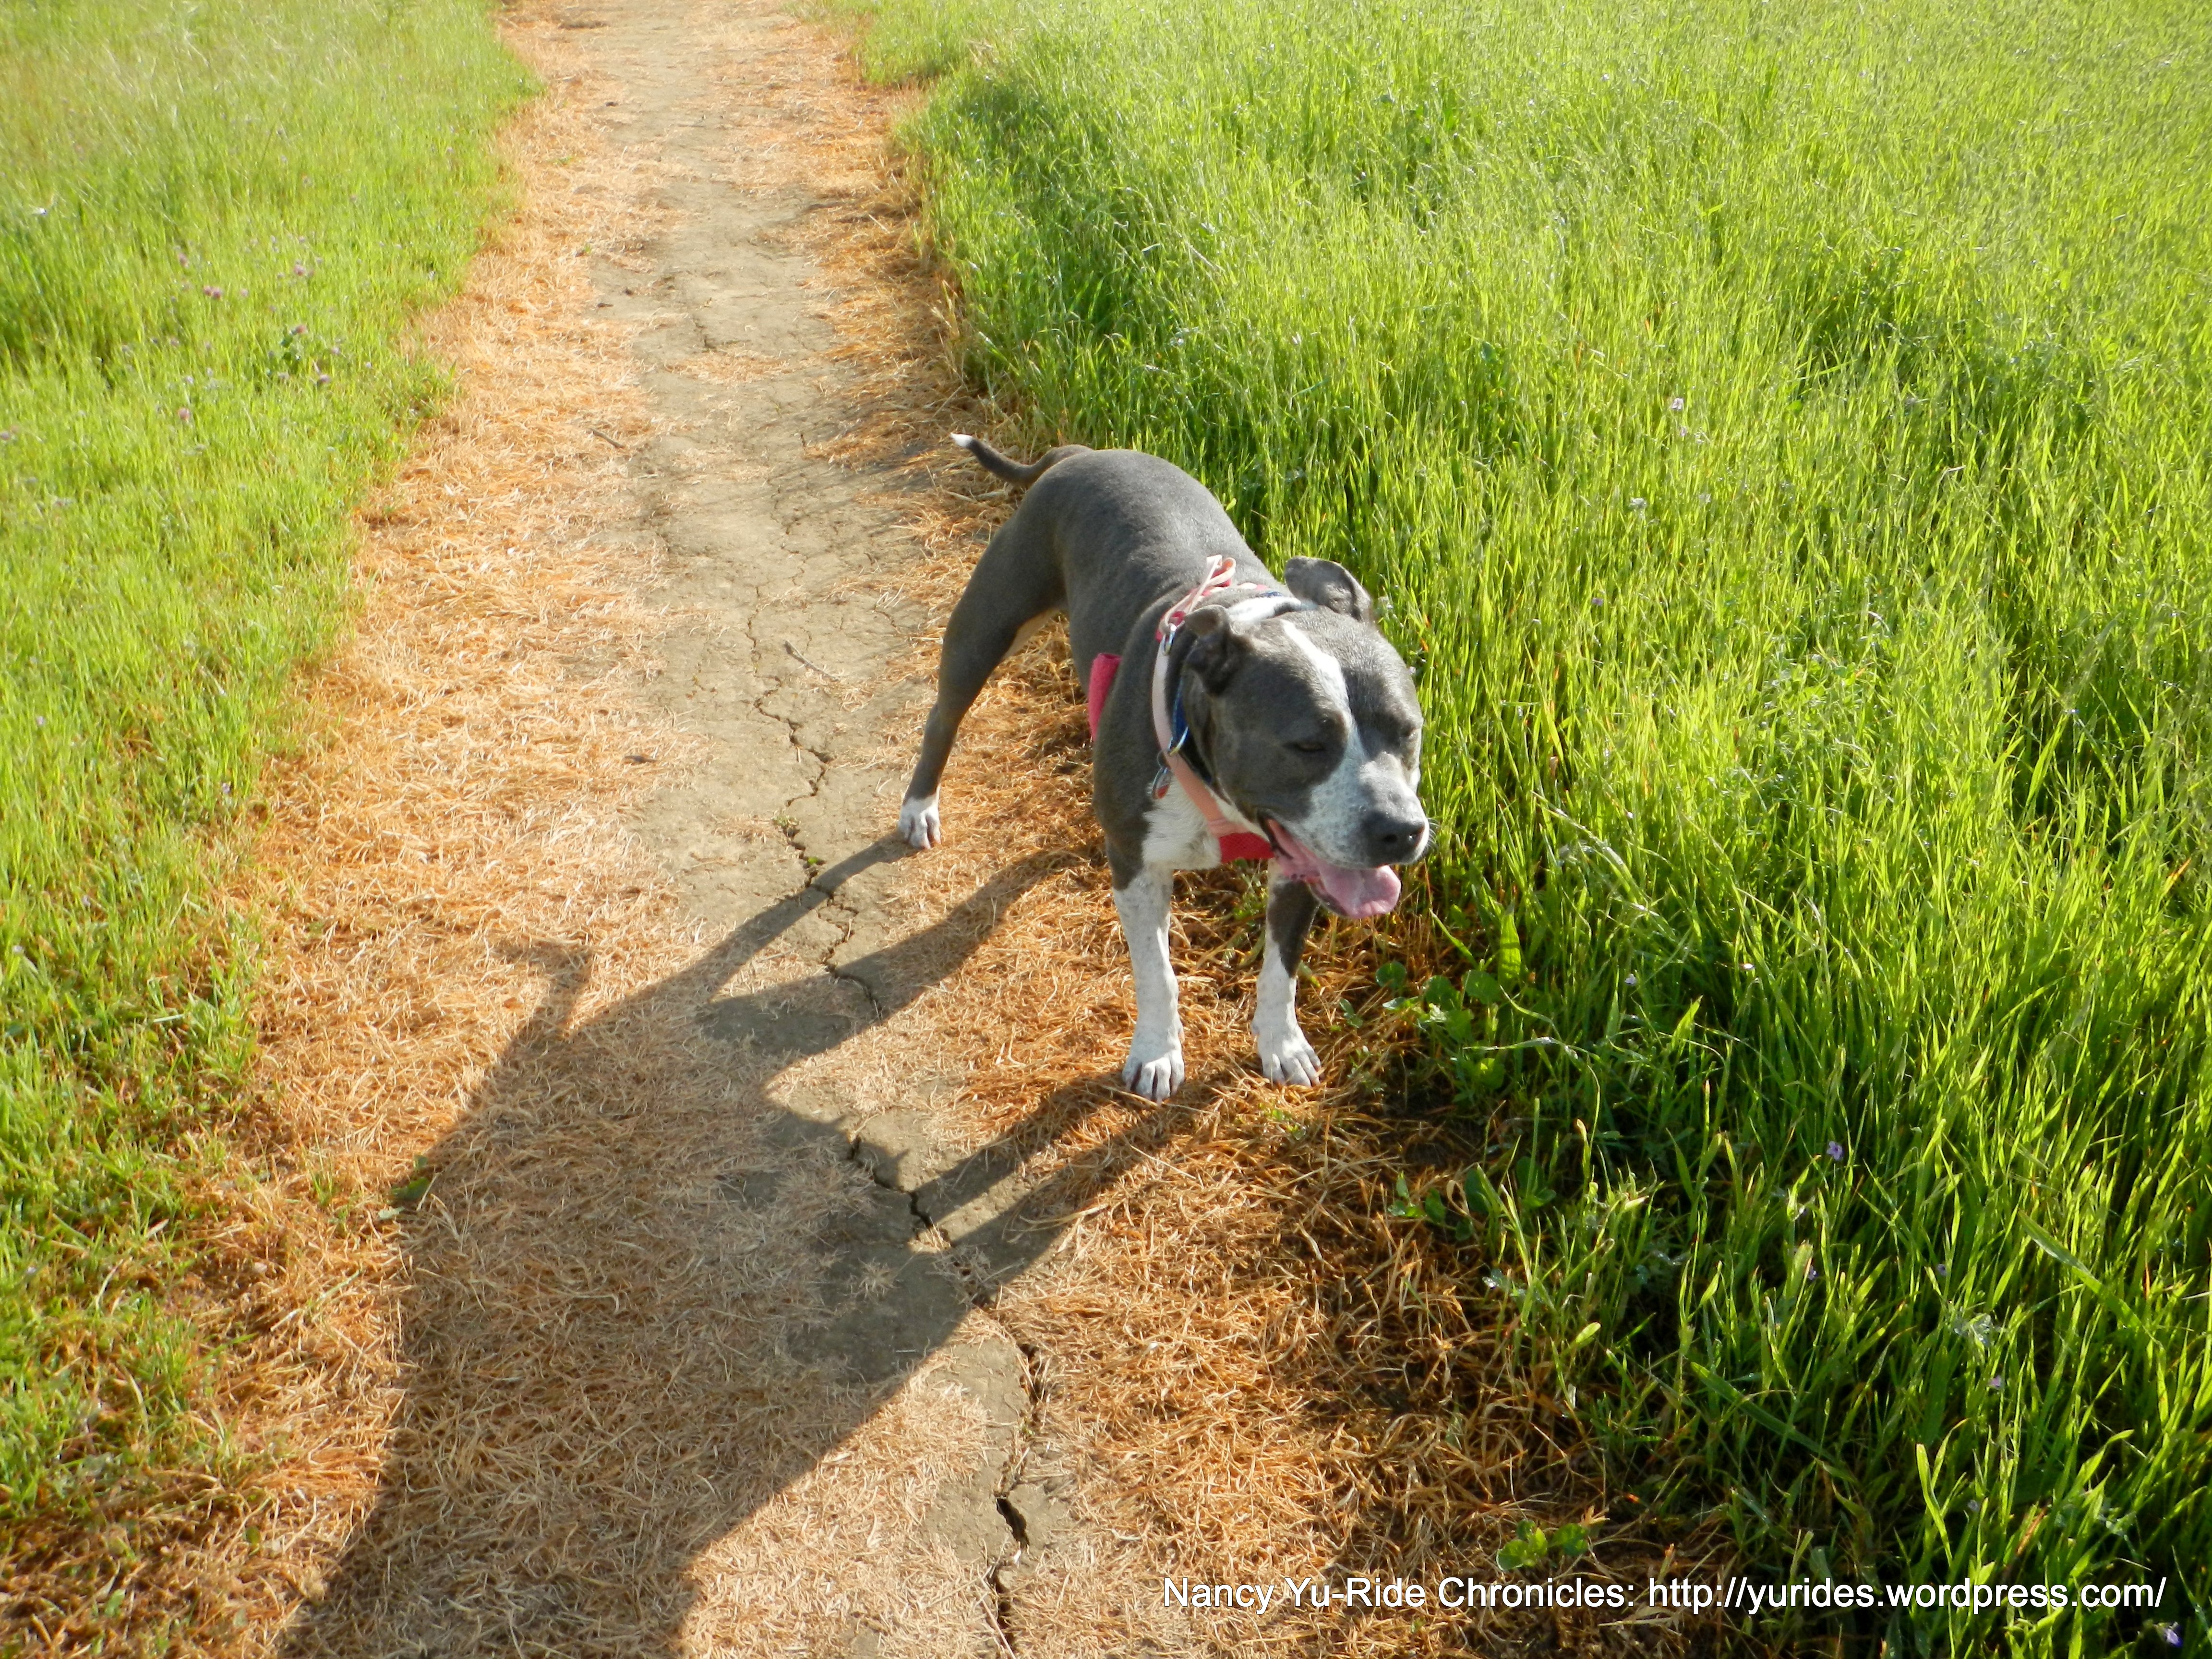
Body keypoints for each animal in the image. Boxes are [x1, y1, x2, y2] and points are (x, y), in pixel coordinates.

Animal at [899, 435, 1428, 1100]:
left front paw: (1282, 1045)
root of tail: (1081, 453)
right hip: (987, 627)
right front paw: (1157, 1053)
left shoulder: (1302, 867)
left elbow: (1281, 970)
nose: (1401, 831)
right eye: (1308, 744)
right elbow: (1158, 973)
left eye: (1409, 731)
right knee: (943, 716)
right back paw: (919, 807)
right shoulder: (1141, 869)